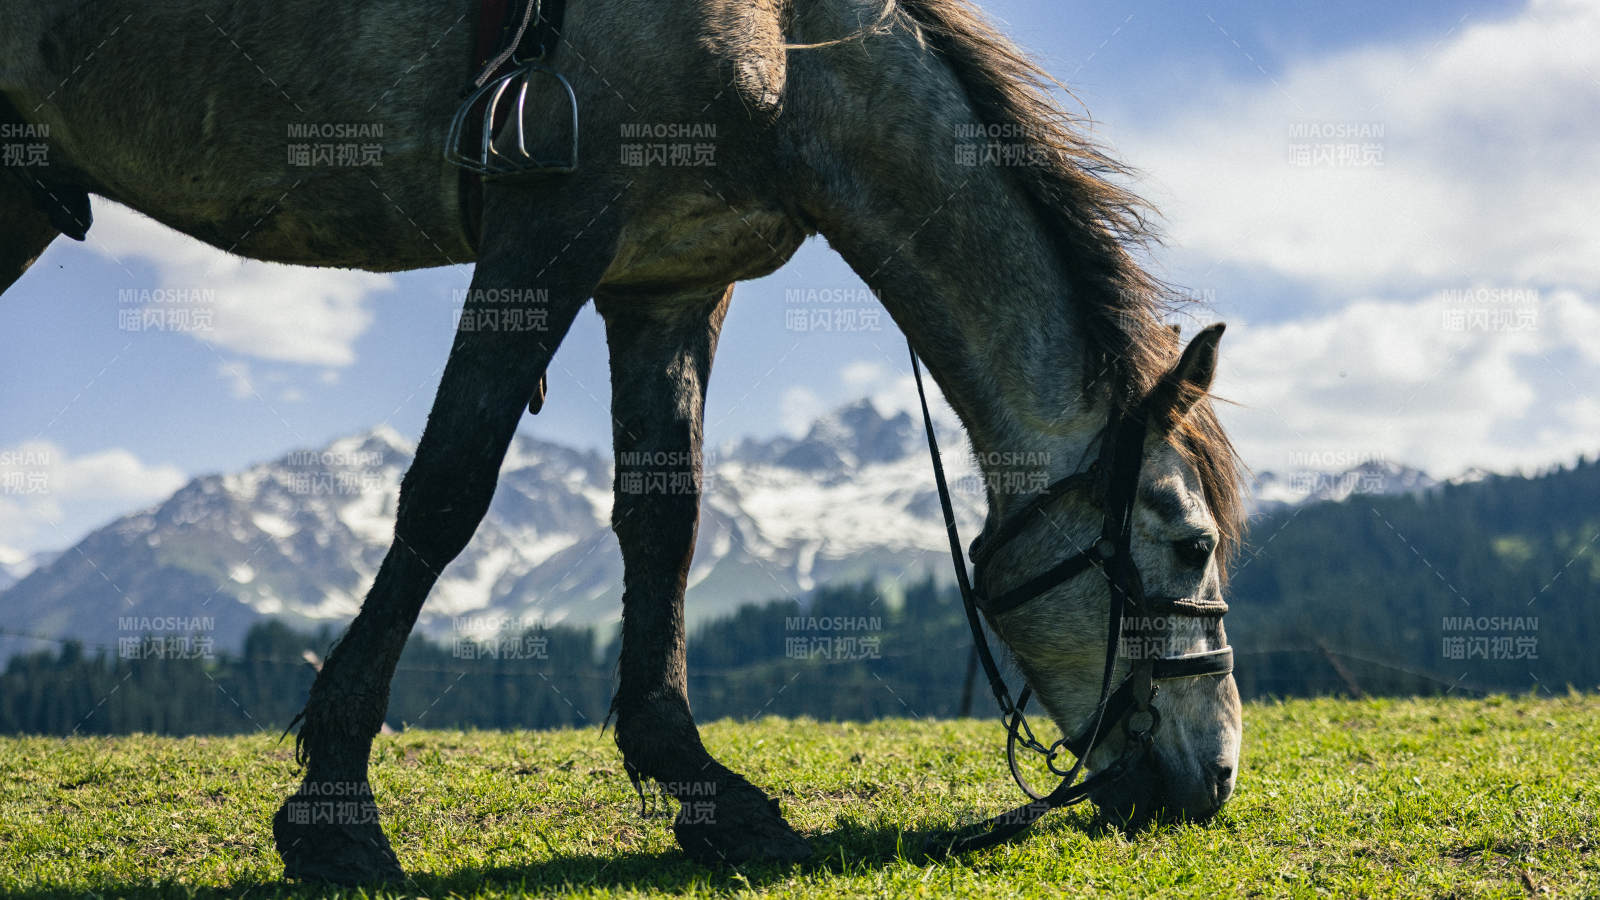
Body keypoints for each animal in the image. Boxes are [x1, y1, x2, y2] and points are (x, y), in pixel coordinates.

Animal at [1, 0, 1245, 883]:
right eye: (1187, 545)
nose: (1219, 774)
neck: (792, 47)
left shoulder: (667, 281)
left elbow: (664, 518)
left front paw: (696, 782)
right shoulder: (549, 227)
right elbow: (448, 487)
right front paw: (336, 809)